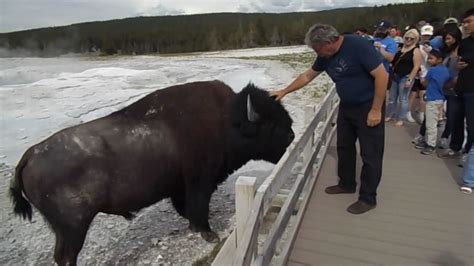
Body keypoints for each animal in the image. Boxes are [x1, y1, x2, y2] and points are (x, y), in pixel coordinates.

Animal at [9, 80, 294, 264]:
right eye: (271, 124)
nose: (292, 135)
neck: (226, 120)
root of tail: (30, 155)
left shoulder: (181, 188)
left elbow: (187, 208)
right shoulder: (199, 183)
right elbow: (198, 207)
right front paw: (209, 234)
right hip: (73, 228)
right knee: (66, 257)